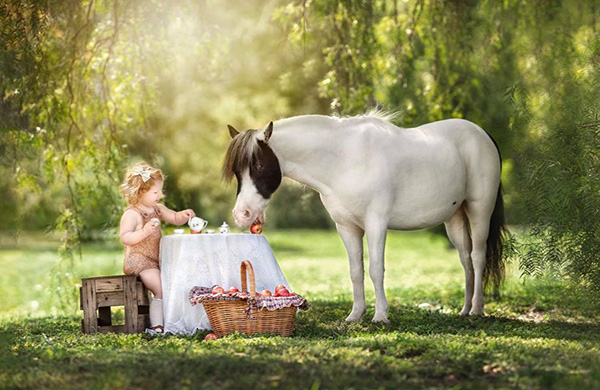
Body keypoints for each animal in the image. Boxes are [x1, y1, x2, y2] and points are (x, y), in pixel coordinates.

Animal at [224, 112, 506, 322]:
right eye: (237, 171)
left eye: (259, 165)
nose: (242, 214)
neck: (344, 161)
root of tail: (483, 135)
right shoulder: (347, 228)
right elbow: (356, 271)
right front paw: (355, 315)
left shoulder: (376, 223)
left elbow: (375, 269)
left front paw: (380, 316)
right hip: (455, 218)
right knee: (466, 260)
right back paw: (465, 310)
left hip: (479, 211)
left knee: (478, 257)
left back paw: (478, 310)